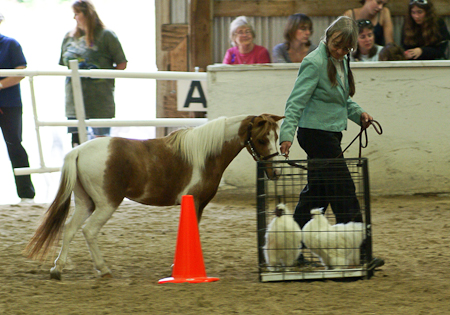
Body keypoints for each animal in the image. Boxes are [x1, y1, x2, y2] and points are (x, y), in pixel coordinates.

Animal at [25, 113, 282, 278]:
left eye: (276, 137)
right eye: (262, 139)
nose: (276, 172)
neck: (205, 154)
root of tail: (78, 150)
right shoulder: (196, 203)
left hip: (85, 203)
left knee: (69, 228)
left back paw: (58, 269)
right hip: (106, 204)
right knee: (89, 231)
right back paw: (103, 269)